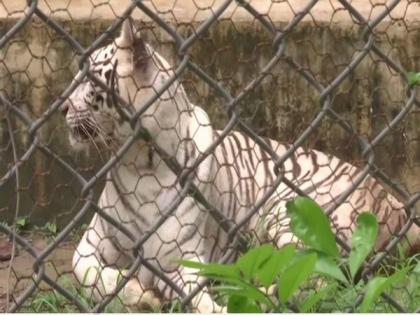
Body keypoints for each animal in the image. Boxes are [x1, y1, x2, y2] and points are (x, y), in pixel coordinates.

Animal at [61, 19, 420, 314]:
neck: (139, 164)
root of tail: (393, 201)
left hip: (288, 214)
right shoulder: (90, 243)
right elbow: (88, 271)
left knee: (317, 277)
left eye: (88, 79)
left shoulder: (188, 257)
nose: (62, 105)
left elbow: (198, 298)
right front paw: (141, 294)